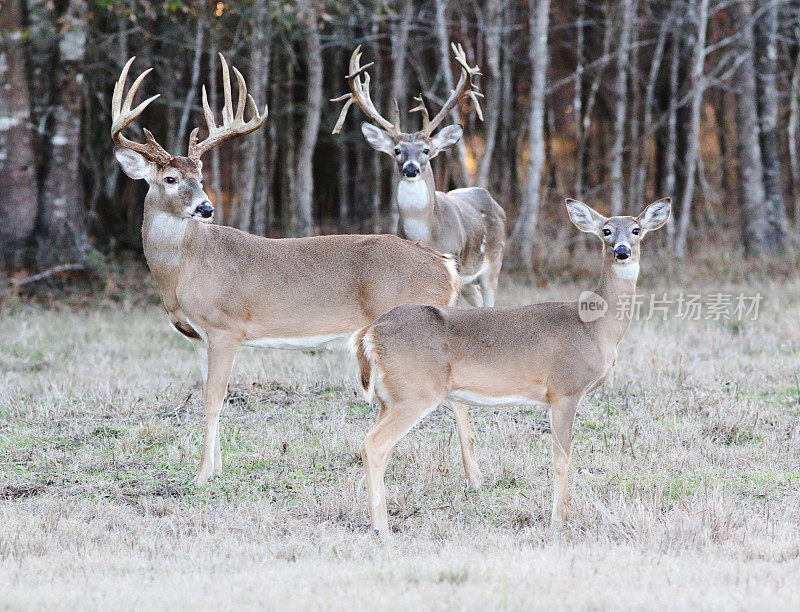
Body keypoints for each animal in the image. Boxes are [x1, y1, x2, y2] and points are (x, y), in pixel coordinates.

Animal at [110, 56, 484, 488]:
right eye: (170, 179)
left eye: (200, 178)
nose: (206, 207)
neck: (184, 269)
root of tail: (444, 266)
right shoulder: (201, 337)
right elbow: (212, 393)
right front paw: (216, 467)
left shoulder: (225, 327)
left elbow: (212, 396)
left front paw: (202, 475)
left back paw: (473, 477)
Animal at [332, 43, 506, 308]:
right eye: (397, 150)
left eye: (426, 150)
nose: (411, 169)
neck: (427, 233)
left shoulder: (454, 258)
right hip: (469, 281)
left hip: (494, 260)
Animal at [350, 197, 668, 536]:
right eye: (606, 230)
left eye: (636, 230)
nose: (622, 251)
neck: (594, 328)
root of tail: (369, 332)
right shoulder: (564, 389)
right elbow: (561, 457)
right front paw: (558, 521)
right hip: (415, 391)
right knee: (373, 445)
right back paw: (382, 529)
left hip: (390, 398)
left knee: (379, 447)